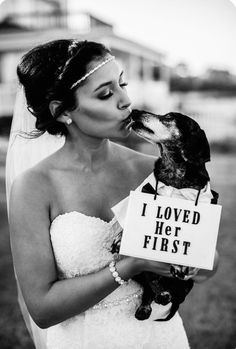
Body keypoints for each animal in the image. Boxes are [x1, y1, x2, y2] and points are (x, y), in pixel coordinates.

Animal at [115, 110, 218, 320]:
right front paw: (120, 239)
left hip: (188, 283)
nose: (135, 111)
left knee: (177, 294)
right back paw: (150, 303)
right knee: (150, 286)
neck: (174, 178)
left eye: (169, 117)